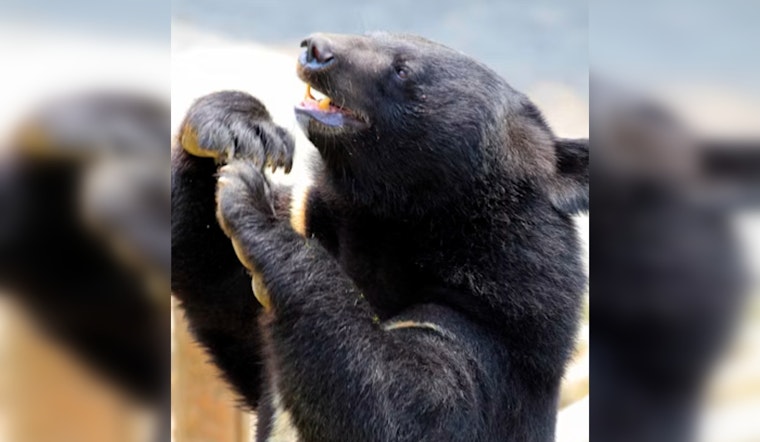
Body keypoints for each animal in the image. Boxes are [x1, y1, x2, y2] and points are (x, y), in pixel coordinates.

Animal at [171, 32, 588, 441]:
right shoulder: (307, 216)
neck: (386, 229)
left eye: (402, 69)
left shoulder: (497, 327)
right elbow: (218, 290)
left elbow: (399, 404)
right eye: (373, 35)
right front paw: (241, 127)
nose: (315, 49)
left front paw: (253, 202)